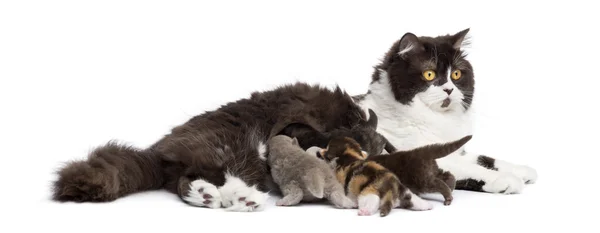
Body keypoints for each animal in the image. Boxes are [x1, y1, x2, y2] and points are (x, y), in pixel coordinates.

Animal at [352, 28, 540, 193]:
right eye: (429, 74)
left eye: (456, 74)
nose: (449, 89)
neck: (435, 119)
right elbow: (472, 168)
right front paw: (506, 179)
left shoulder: (458, 151)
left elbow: (485, 159)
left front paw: (522, 170)